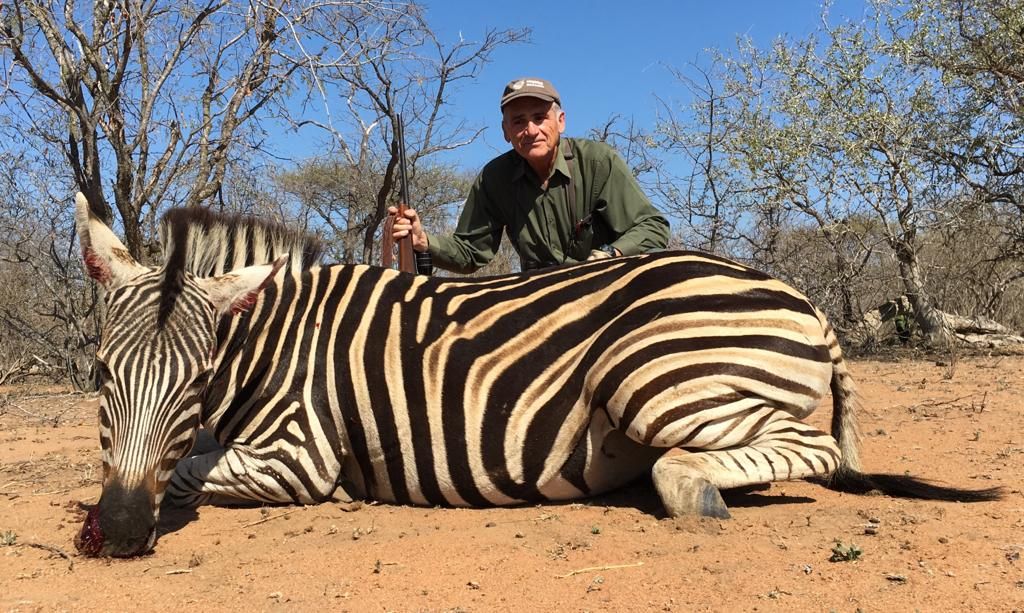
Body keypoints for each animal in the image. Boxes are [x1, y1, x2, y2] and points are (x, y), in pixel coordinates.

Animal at [71, 193, 1002, 557]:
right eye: (99, 374)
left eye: (196, 379)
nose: (121, 531)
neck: (272, 340)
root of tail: (804, 299)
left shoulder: (300, 455)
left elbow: (188, 470)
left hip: (649, 373)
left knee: (795, 450)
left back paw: (694, 488)